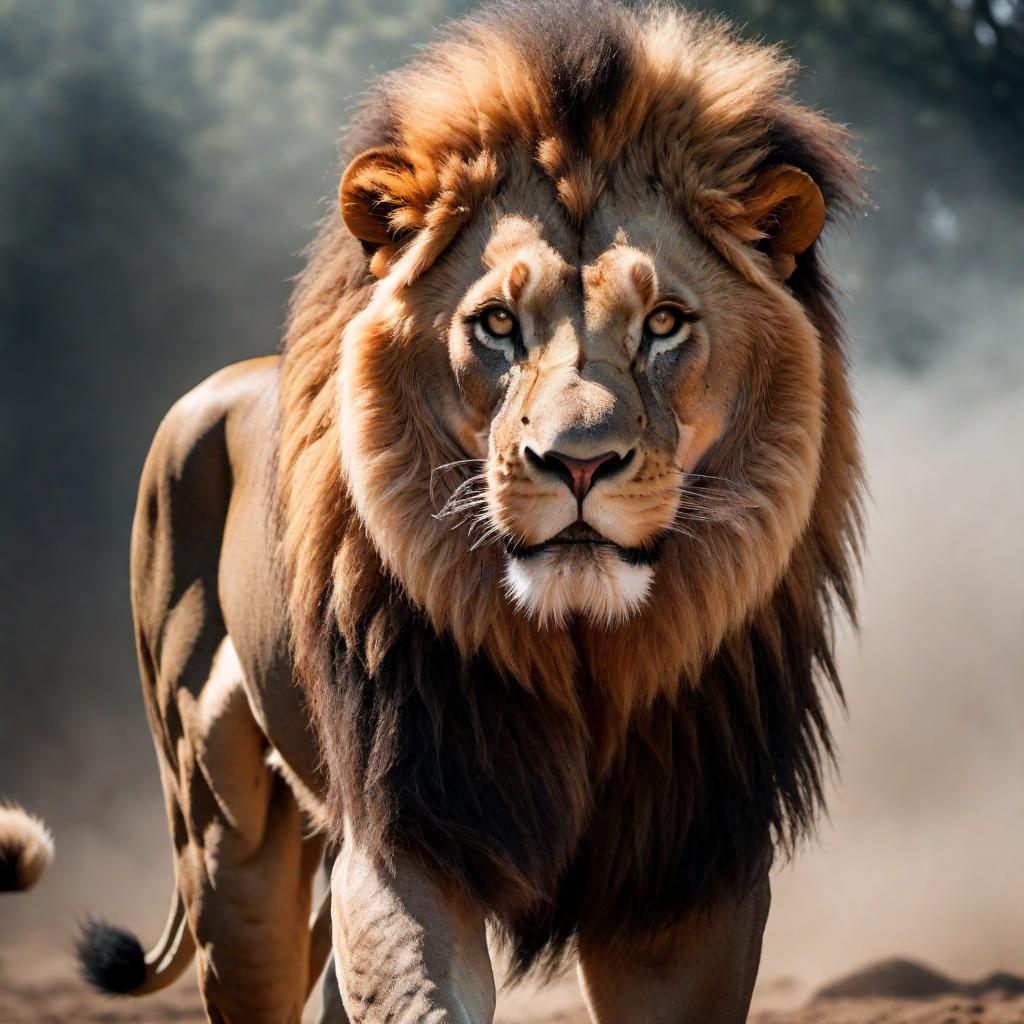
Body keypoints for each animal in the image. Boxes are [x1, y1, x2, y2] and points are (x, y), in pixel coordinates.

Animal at [75, 4, 864, 1019]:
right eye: (496, 324)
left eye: (663, 324)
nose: (578, 463)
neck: (584, 656)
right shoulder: (412, 828)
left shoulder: (687, 870)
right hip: (228, 850)